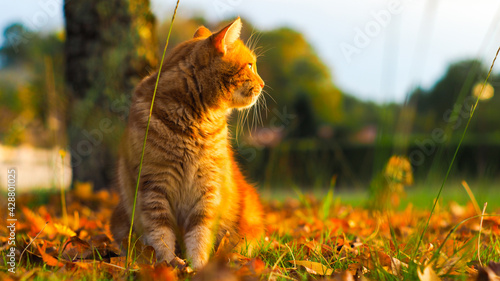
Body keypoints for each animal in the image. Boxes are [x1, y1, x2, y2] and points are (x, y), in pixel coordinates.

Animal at [110, 18, 266, 268]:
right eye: (250, 66)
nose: (263, 84)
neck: (194, 124)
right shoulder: (153, 187)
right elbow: (160, 234)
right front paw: (168, 263)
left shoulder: (208, 191)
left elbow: (200, 233)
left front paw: (197, 266)